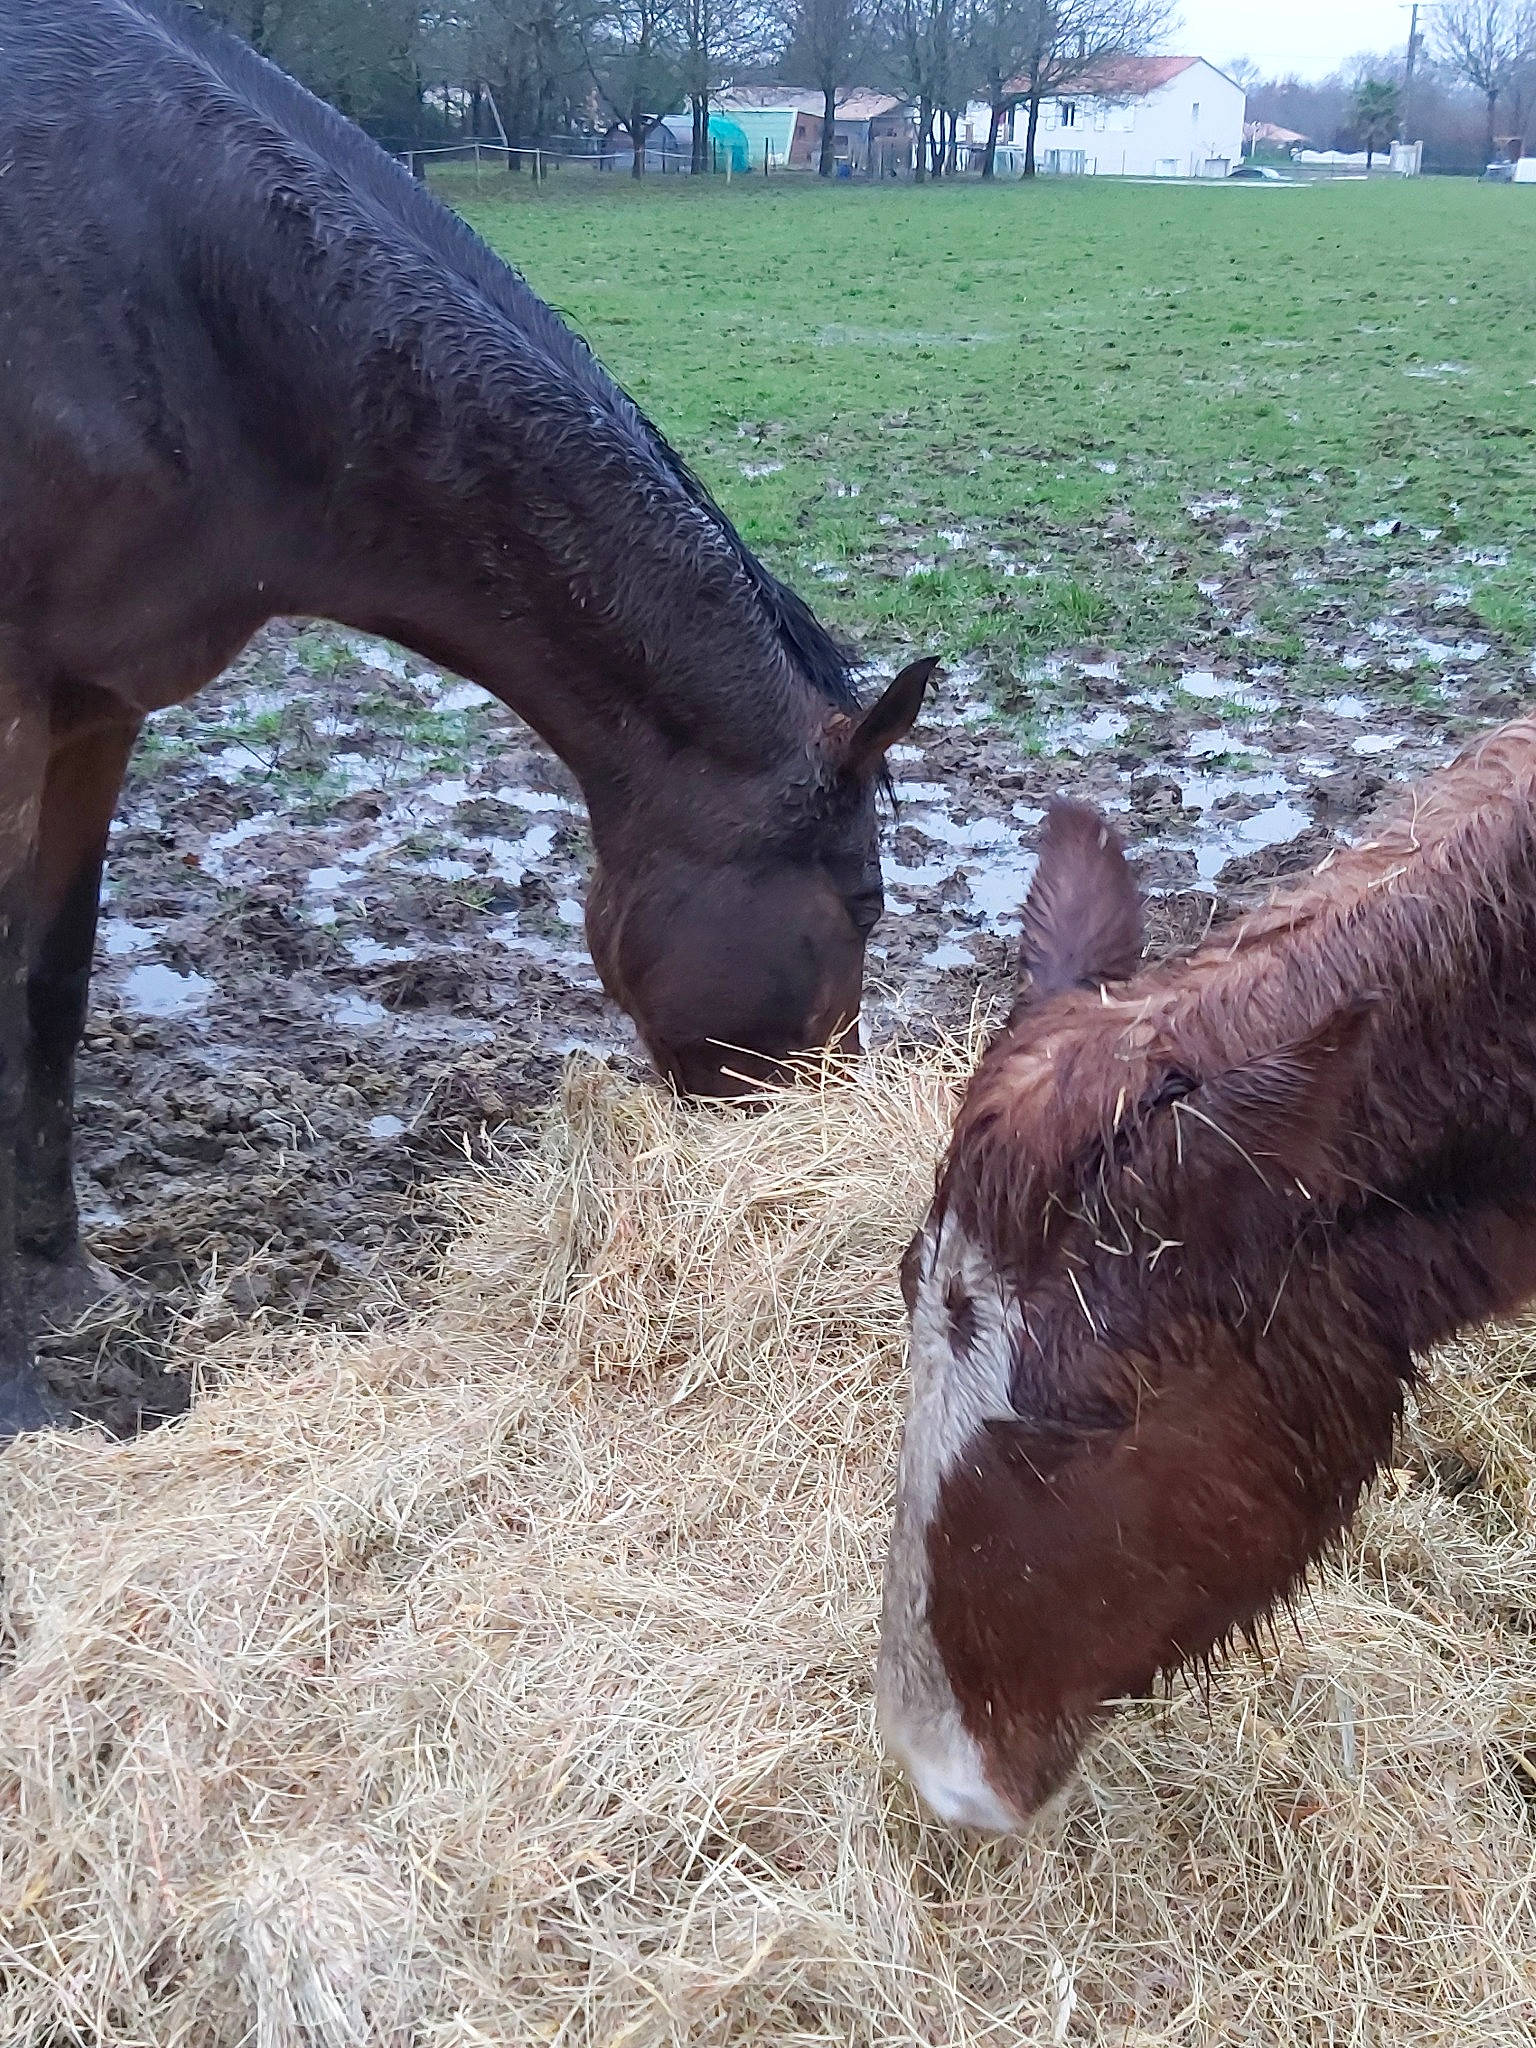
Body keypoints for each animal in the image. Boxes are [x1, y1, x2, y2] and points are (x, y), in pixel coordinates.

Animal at [0, 0, 934, 1438]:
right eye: (868, 903)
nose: (810, 1124)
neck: (191, 291)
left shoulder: (98, 705)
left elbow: (49, 985)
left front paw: (61, 1284)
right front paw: (16, 1386)